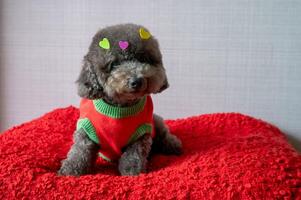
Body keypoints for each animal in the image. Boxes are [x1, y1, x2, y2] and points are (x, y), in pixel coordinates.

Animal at [58, 23, 180, 177]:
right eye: (114, 64)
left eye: (143, 59)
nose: (136, 81)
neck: (119, 107)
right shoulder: (86, 129)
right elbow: (80, 150)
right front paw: (70, 169)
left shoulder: (141, 134)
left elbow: (133, 155)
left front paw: (132, 172)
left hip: (155, 121)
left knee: (164, 135)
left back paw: (174, 145)